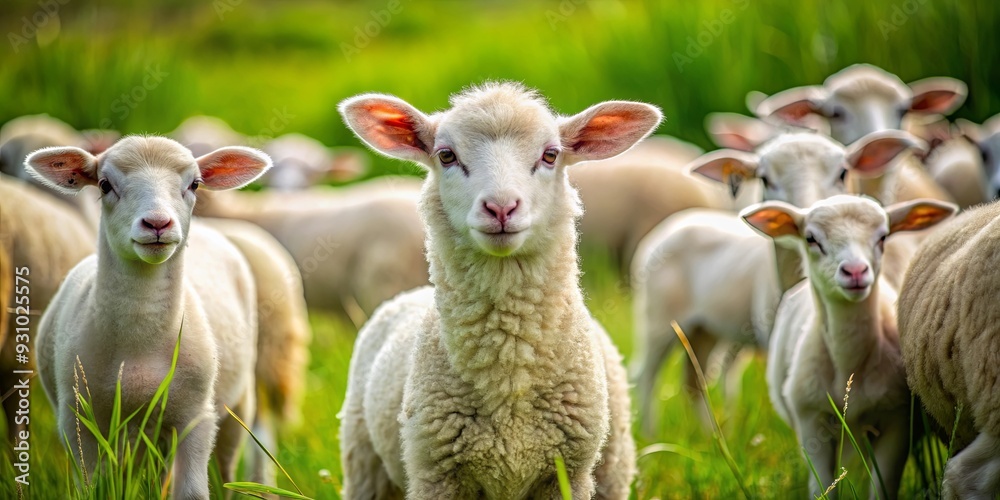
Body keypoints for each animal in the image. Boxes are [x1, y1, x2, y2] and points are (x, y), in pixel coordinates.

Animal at [26, 136, 272, 498]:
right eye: (105, 184)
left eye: (194, 184)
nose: (157, 224)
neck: (141, 340)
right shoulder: (78, 420)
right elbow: (93, 487)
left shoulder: (195, 416)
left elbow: (192, 492)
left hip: (236, 406)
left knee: (225, 471)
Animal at [337, 82, 660, 499]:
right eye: (446, 155)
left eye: (551, 155)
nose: (501, 207)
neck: (508, 372)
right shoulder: (435, 474)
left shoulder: (568, 474)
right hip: (364, 461)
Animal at [631, 130, 920, 433]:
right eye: (765, 179)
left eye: (843, 173)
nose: (805, 212)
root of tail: (679, 220)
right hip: (658, 318)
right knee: (645, 376)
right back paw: (651, 434)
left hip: (703, 329)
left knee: (694, 379)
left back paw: (711, 435)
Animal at [745, 194, 955, 498]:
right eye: (810, 238)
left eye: (883, 237)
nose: (855, 271)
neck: (849, 364)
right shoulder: (811, 422)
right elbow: (822, 486)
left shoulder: (897, 421)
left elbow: (883, 486)